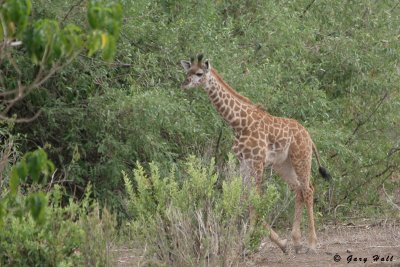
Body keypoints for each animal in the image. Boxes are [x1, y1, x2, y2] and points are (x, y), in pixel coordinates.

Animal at [181, 55, 332, 255]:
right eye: (187, 72)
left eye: (199, 73)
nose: (184, 84)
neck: (238, 123)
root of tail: (308, 136)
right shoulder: (244, 161)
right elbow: (244, 197)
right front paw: (280, 243)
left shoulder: (257, 161)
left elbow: (255, 198)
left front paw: (249, 241)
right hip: (283, 165)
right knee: (298, 190)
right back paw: (297, 242)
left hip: (301, 158)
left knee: (308, 190)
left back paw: (312, 244)